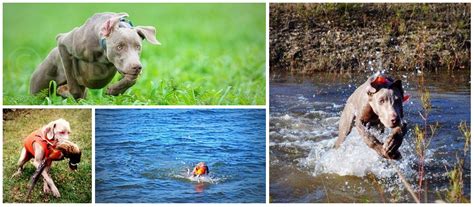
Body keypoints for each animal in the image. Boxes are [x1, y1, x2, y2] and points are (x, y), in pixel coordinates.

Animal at [29, 12, 160, 99]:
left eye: (138, 47)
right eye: (119, 47)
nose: (137, 67)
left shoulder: (125, 65)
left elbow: (131, 80)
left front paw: (113, 90)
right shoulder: (63, 42)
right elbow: (71, 76)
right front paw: (74, 95)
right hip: (40, 86)